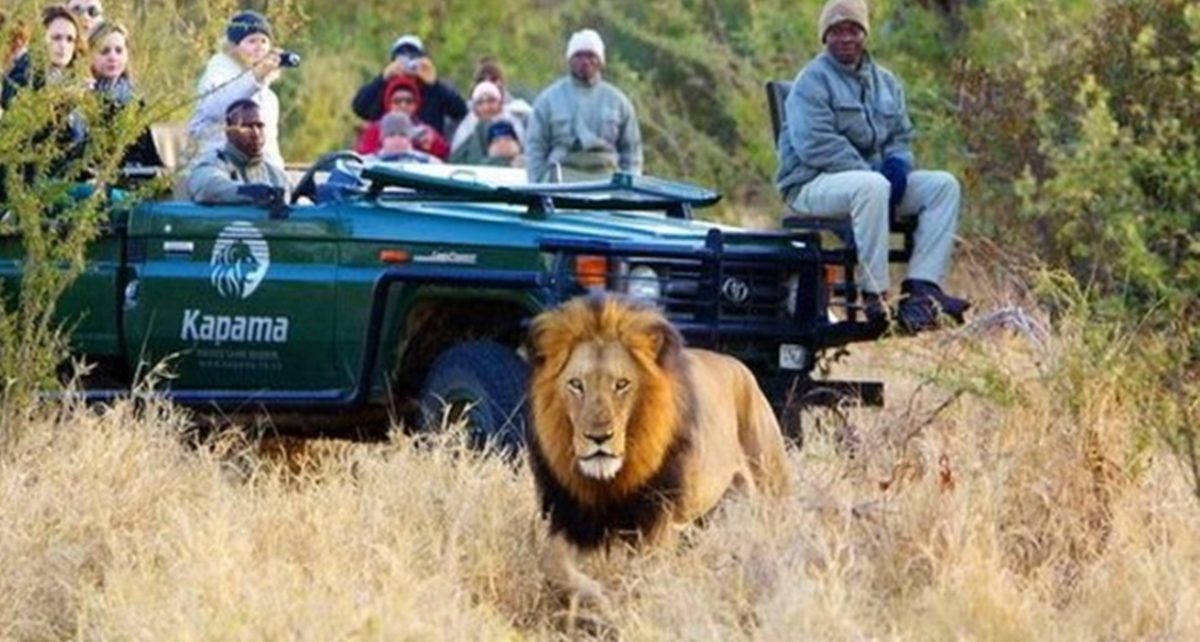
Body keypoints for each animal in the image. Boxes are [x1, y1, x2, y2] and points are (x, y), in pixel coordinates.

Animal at [528, 294, 792, 604]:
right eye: (576, 385)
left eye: (622, 384)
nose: (598, 437)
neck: (613, 479)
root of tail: (741, 367)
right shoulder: (574, 517)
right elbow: (550, 563)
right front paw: (596, 595)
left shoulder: (657, 521)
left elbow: (641, 578)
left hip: (770, 488)